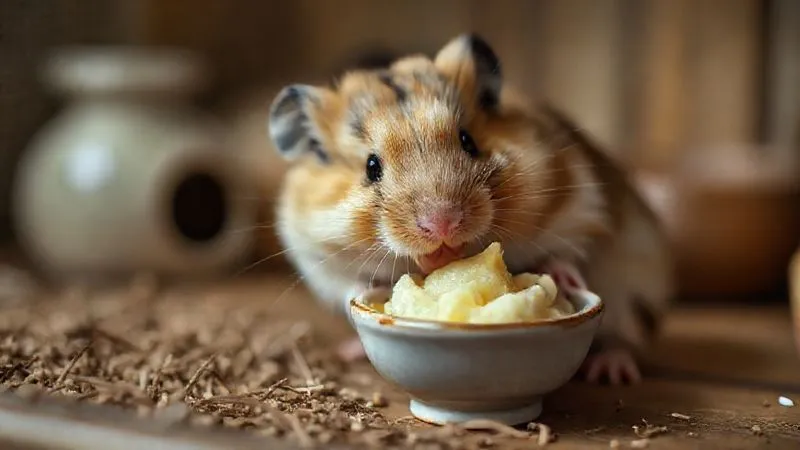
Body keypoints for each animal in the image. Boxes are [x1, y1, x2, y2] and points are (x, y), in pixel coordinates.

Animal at [266, 33, 675, 385]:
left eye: (468, 141)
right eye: (371, 167)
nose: (443, 225)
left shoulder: (584, 206)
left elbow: (569, 251)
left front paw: (563, 279)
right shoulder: (315, 258)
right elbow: (349, 284)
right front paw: (378, 288)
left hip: (638, 283)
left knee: (625, 335)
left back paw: (611, 371)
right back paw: (351, 350)